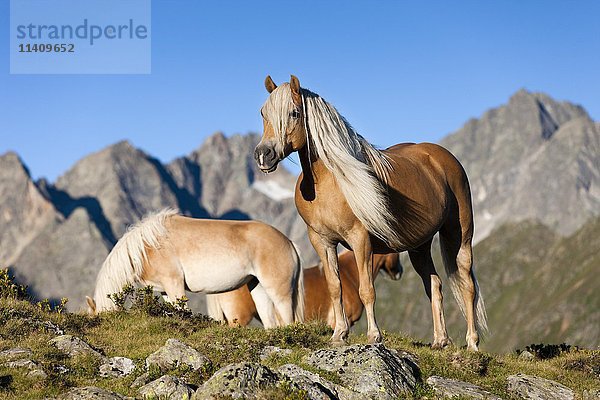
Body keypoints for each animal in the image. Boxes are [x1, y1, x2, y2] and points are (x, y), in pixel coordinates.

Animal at [86, 209, 302, 328]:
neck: (147, 247)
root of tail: (289, 242)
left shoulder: (174, 284)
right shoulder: (165, 290)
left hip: (279, 293)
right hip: (257, 288)